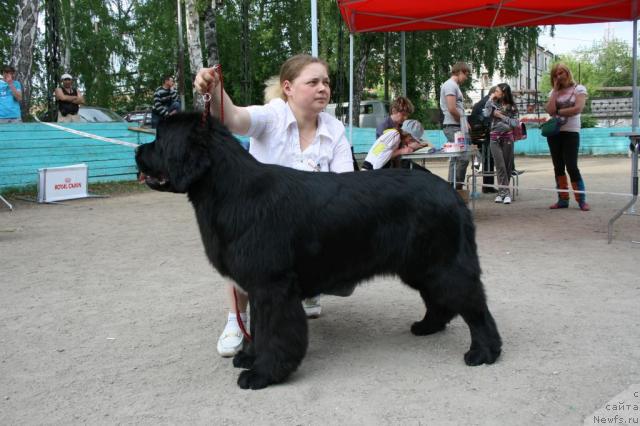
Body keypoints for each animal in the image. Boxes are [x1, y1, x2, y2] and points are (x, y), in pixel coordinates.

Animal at [138, 112, 502, 390]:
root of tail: (452, 195)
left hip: (443, 265)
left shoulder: (273, 286)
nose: (139, 150)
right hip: (420, 267)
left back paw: (484, 353)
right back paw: (427, 327)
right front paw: (249, 356)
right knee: (440, 301)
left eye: (159, 138)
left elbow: (274, 331)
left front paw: (262, 373)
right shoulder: (258, 286)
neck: (230, 191)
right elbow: (257, 326)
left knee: (475, 307)